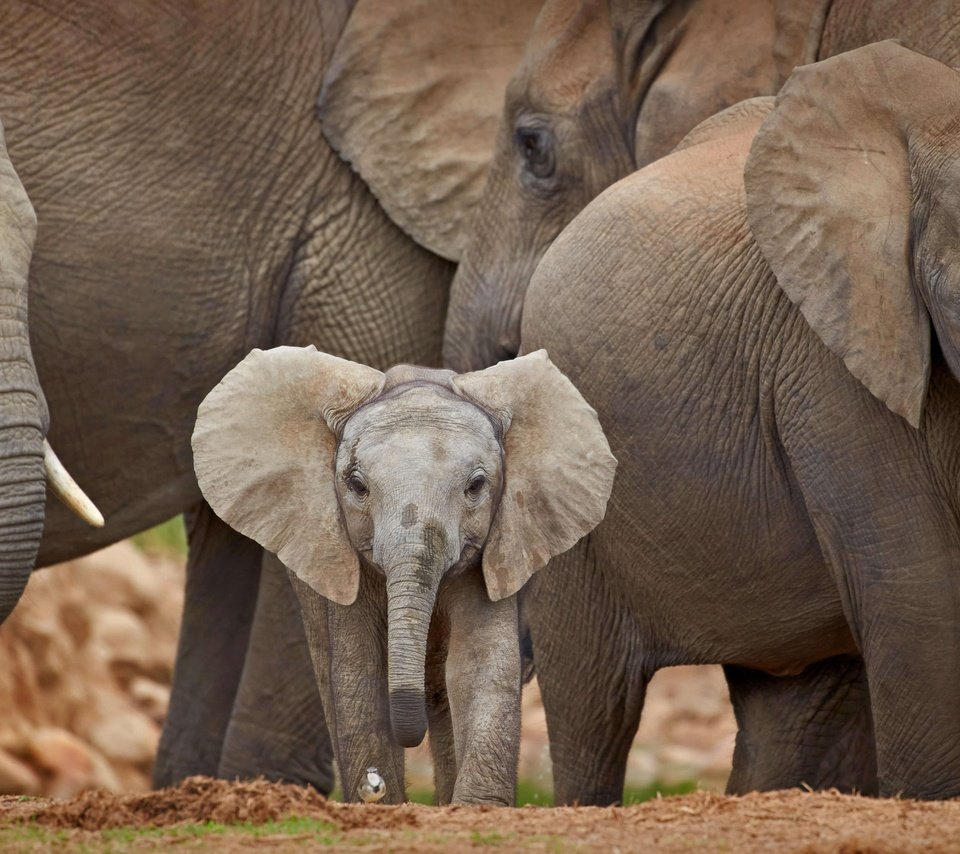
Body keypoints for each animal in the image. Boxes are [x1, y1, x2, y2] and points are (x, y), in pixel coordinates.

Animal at [193, 344, 616, 804]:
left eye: (476, 486)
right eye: (356, 485)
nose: (373, 783)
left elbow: (478, 666)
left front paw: (474, 809)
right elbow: (359, 672)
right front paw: (383, 801)